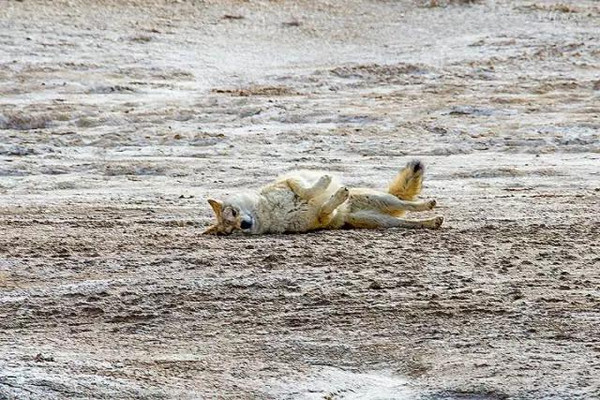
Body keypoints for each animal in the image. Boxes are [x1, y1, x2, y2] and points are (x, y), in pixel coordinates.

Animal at [204, 159, 442, 234]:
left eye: (233, 213)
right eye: (231, 230)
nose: (244, 225)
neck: (270, 213)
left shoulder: (290, 180)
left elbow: (306, 189)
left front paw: (326, 183)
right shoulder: (322, 219)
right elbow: (327, 209)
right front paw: (336, 197)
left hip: (383, 201)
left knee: (407, 204)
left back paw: (428, 205)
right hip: (380, 222)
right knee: (407, 222)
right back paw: (431, 222)